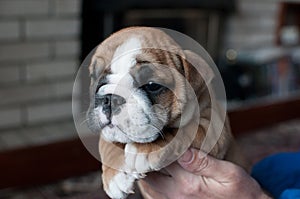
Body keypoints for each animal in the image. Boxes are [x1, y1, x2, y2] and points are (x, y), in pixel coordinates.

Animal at [86, 26, 241, 199]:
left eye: (152, 85)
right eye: (95, 76)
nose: (109, 98)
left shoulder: (212, 128)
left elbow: (178, 132)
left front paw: (143, 150)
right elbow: (106, 142)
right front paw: (115, 175)